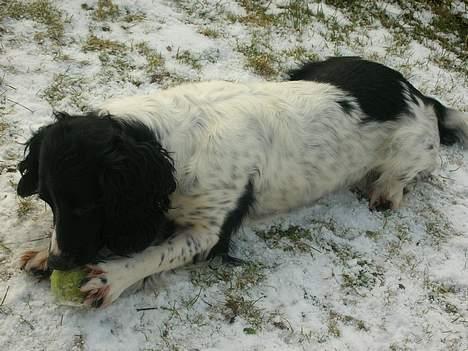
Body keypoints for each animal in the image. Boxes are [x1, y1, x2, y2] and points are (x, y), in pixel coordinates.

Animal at [16, 57, 466, 308]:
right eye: (48, 202)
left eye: (86, 206)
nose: (58, 264)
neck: (170, 143)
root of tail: (419, 95)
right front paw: (40, 253)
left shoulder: (211, 231)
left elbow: (155, 254)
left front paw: (112, 278)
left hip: (411, 151)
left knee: (406, 176)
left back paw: (385, 192)